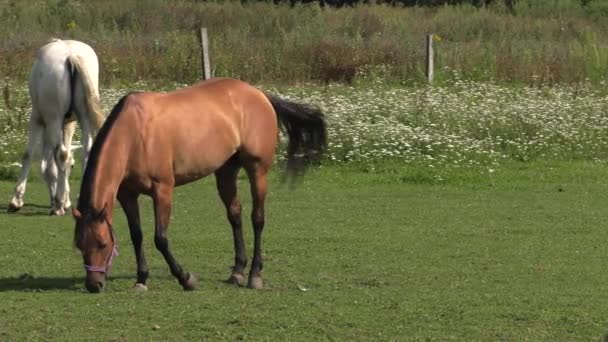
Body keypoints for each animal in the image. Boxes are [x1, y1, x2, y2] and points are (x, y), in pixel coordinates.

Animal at [8, 38, 104, 215]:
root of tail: (71, 56)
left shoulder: (37, 118)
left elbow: (29, 155)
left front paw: (17, 200)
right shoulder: (67, 125)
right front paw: (65, 199)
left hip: (52, 118)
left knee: (61, 154)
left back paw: (58, 206)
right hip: (84, 117)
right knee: (86, 152)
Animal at [73, 78, 328, 294]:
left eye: (102, 244)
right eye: (79, 245)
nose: (93, 285)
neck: (134, 133)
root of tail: (259, 94)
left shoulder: (163, 190)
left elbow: (160, 238)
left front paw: (186, 278)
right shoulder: (127, 195)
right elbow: (137, 235)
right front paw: (141, 279)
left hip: (258, 170)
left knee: (257, 218)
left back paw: (254, 275)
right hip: (226, 171)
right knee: (235, 215)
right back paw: (237, 272)